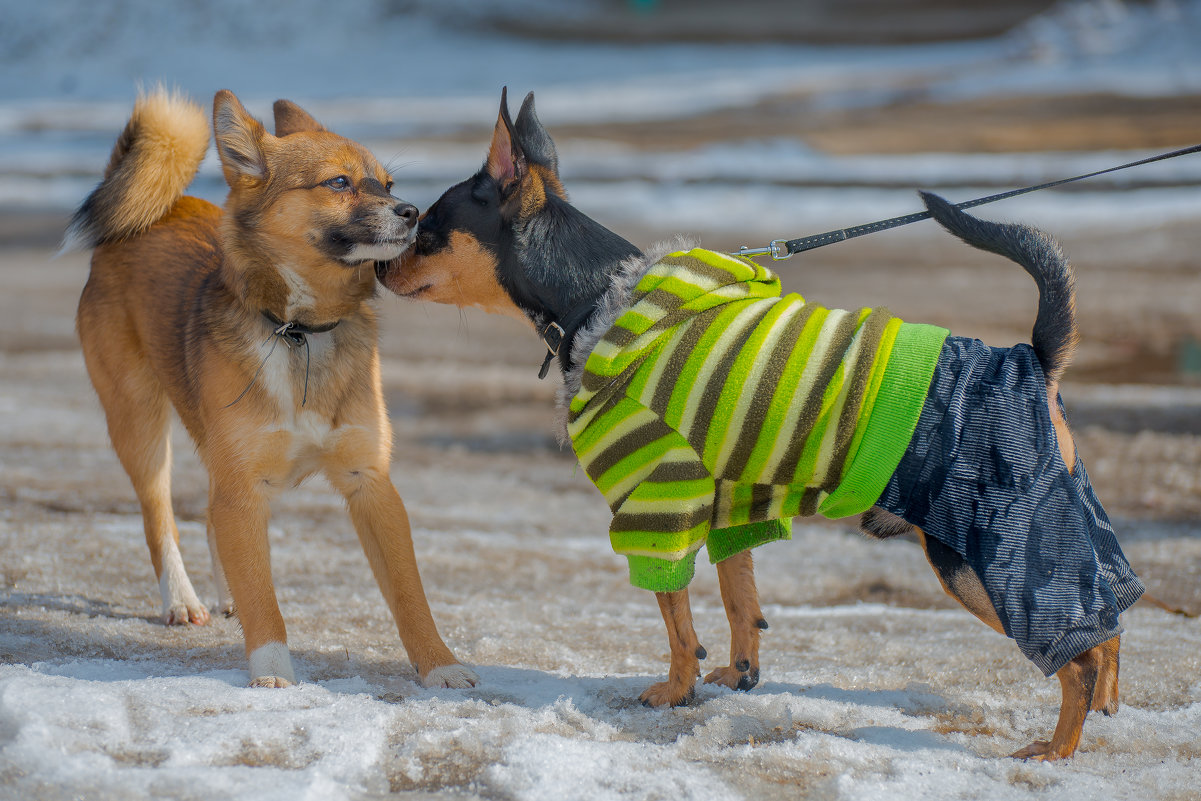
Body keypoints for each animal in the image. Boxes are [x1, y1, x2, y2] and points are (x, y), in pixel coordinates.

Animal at [66, 87, 473, 691]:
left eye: (388, 182)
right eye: (338, 182)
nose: (414, 214)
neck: (299, 330)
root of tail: (157, 211)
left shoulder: (370, 485)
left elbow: (408, 593)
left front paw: (439, 663)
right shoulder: (242, 484)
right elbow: (264, 596)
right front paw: (274, 672)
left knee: (211, 519)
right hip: (139, 425)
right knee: (160, 517)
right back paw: (181, 599)